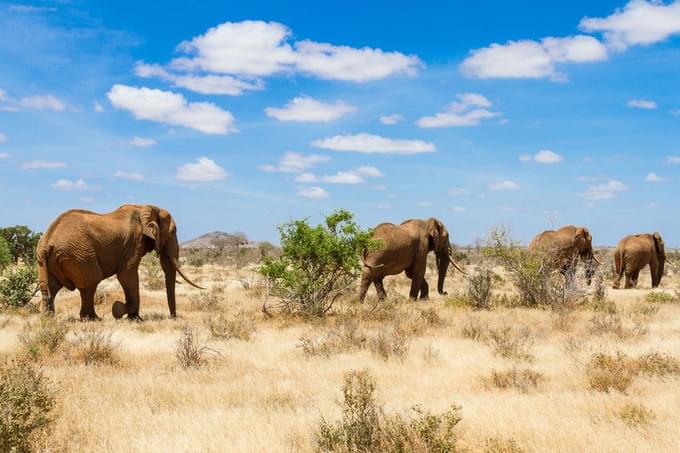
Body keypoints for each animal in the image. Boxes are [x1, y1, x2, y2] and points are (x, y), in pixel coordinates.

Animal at [37, 203, 202, 320]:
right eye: (173, 232)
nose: (173, 318)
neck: (146, 208)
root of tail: (47, 241)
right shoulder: (134, 242)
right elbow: (127, 275)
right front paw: (126, 314)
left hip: (50, 259)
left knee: (50, 287)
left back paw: (48, 319)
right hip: (79, 255)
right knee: (90, 284)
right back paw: (93, 319)